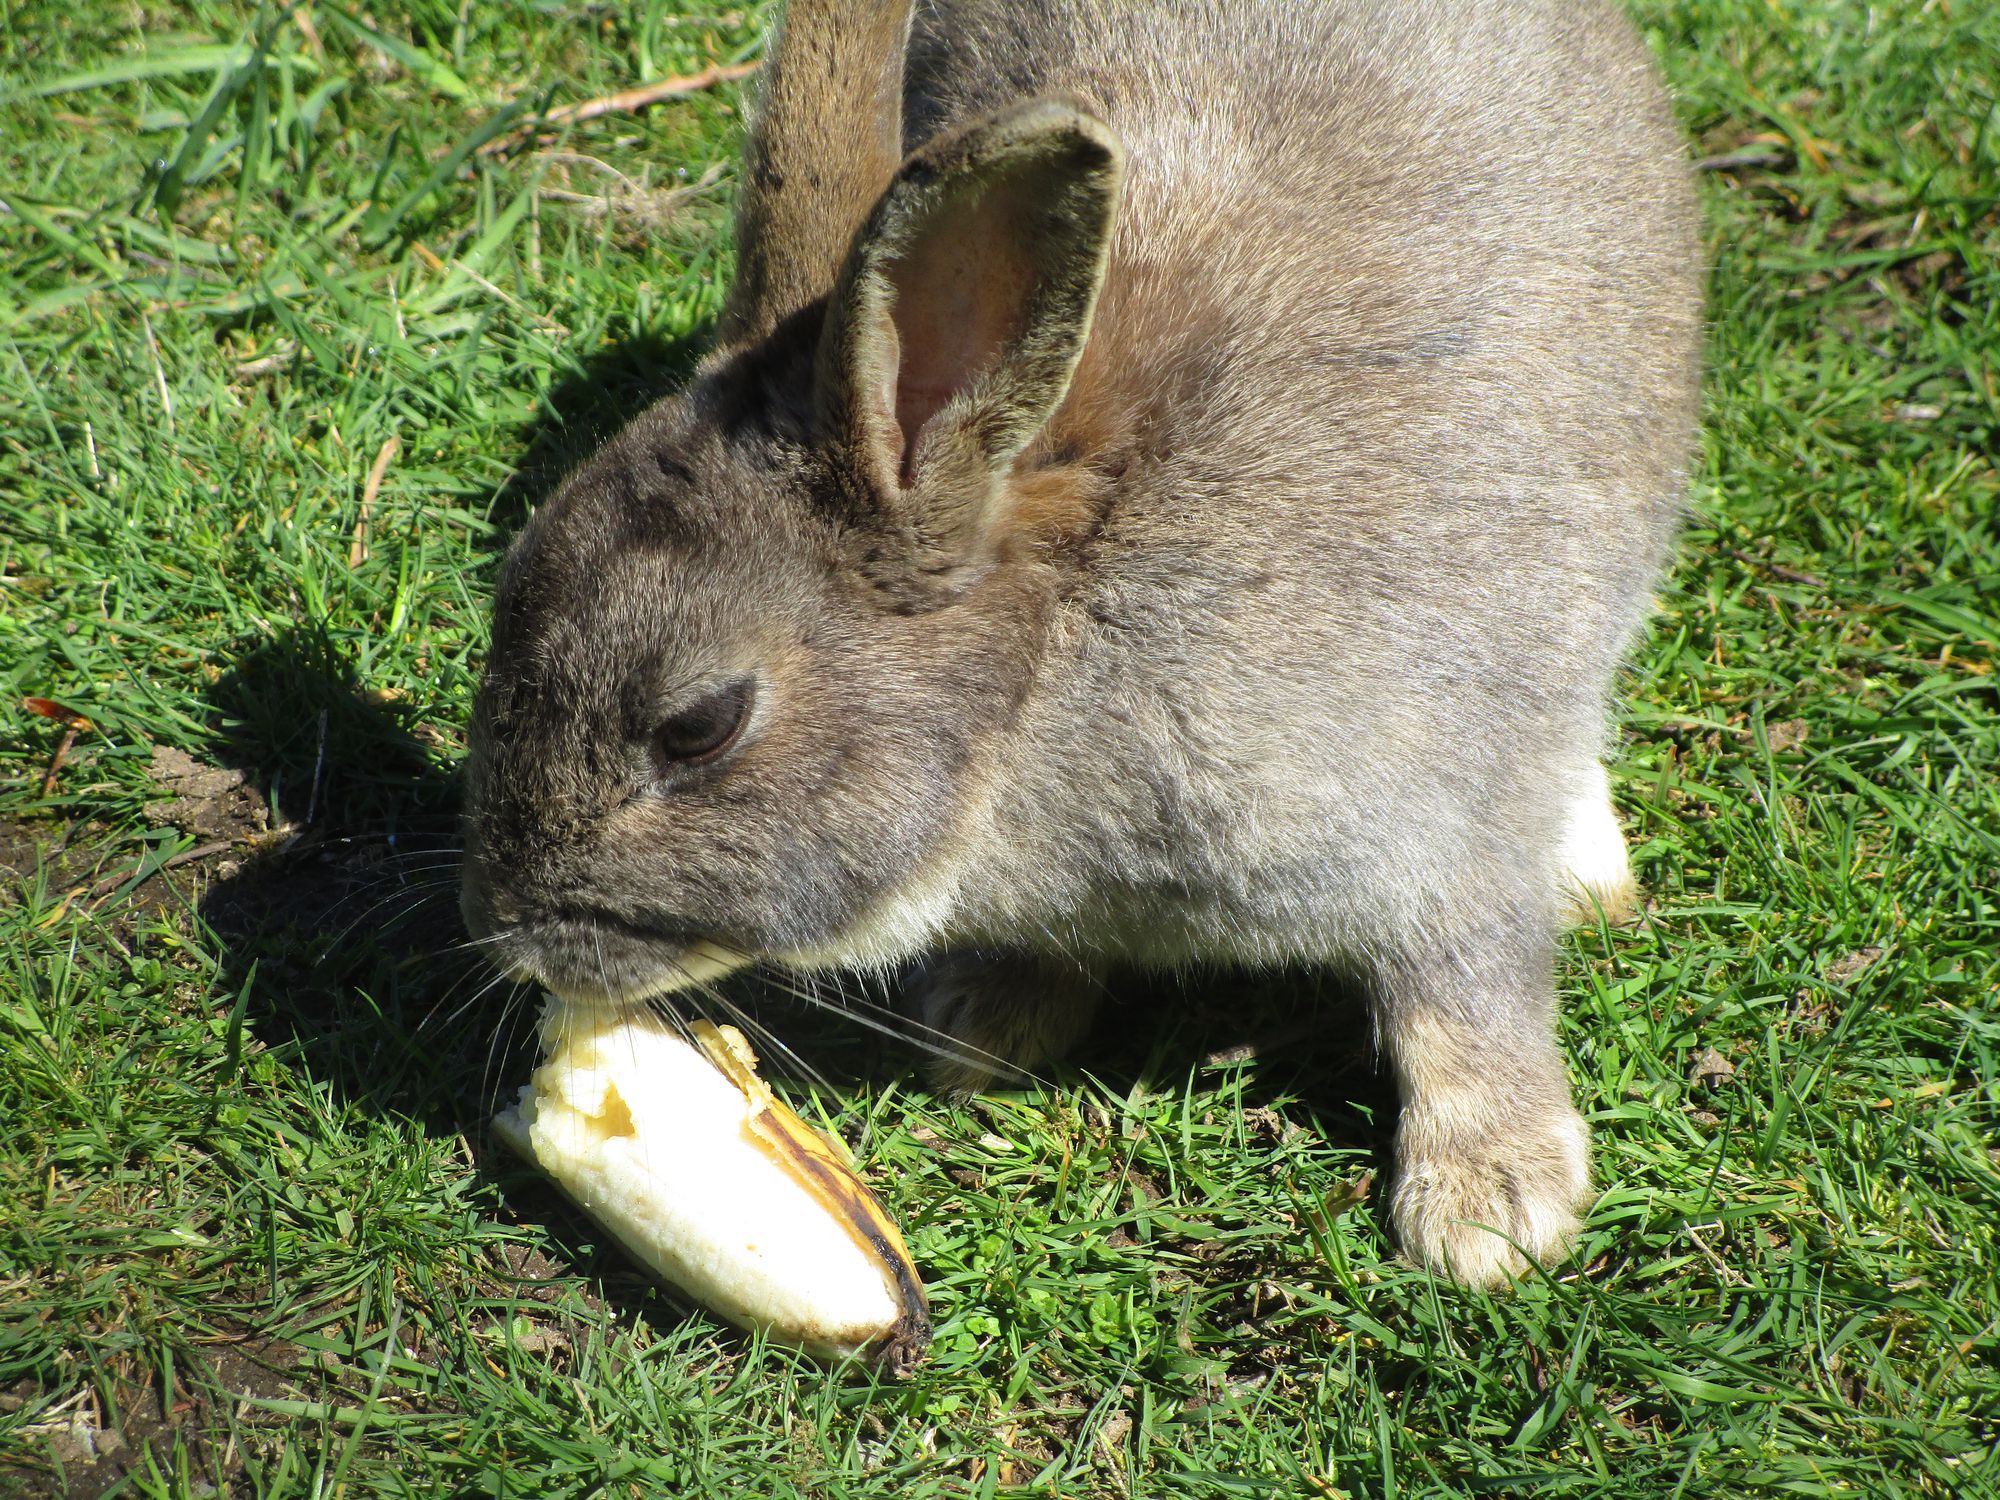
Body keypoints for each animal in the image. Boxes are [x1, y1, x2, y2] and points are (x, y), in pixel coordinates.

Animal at [460, 2, 1696, 1296]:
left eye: (698, 726)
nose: (509, 936)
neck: (1044, 676)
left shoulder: (1439, 817)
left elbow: (1466, 984)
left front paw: (1489, 1212)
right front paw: (983, 1025)